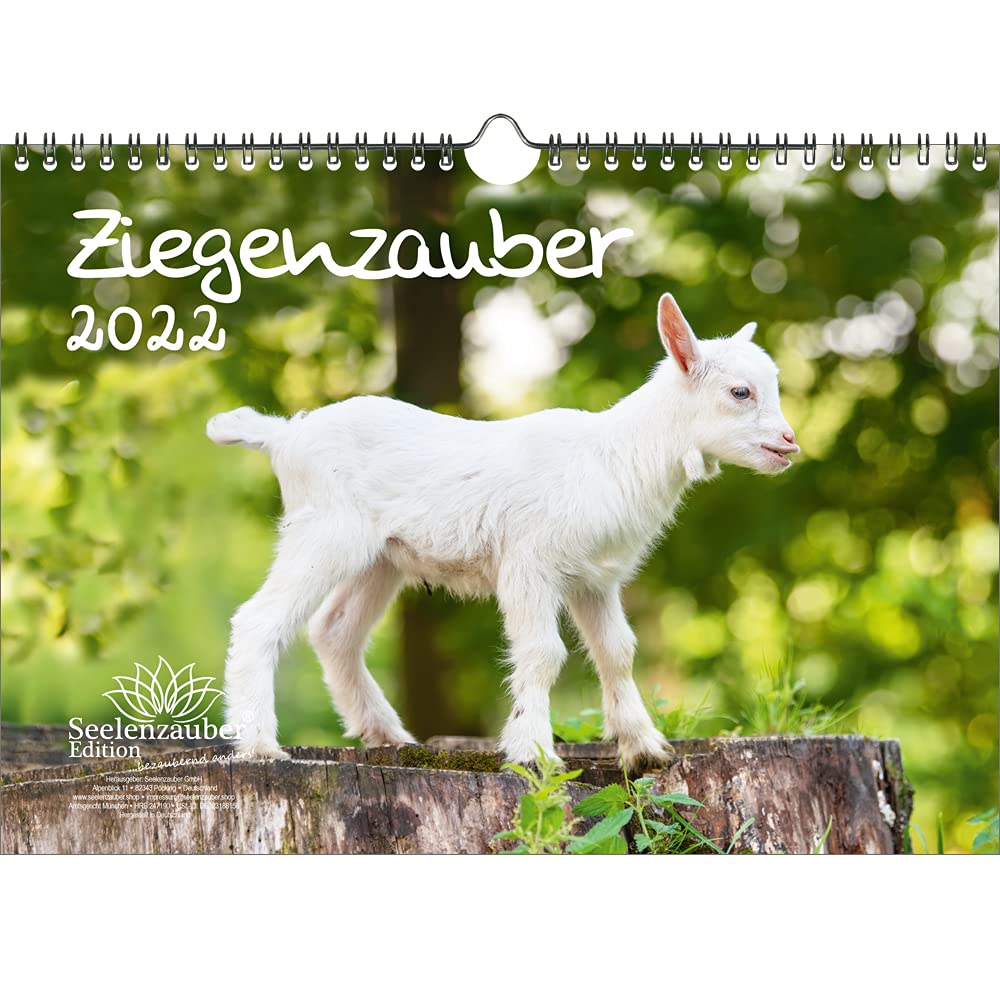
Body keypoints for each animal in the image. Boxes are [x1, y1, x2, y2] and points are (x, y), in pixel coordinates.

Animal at [207, 293, 799, 768]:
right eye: (741, 392)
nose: (789, 442)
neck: (614, 457)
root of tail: (285, 435)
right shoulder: (530, 564)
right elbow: (543, 653)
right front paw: (534, 752)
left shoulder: (595, 580)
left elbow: (618, 652)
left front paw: (643, 748)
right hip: (326, 532)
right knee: (258, 620)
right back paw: (260, 746)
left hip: (381, 557)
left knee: (334, 631)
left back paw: (388, 734)